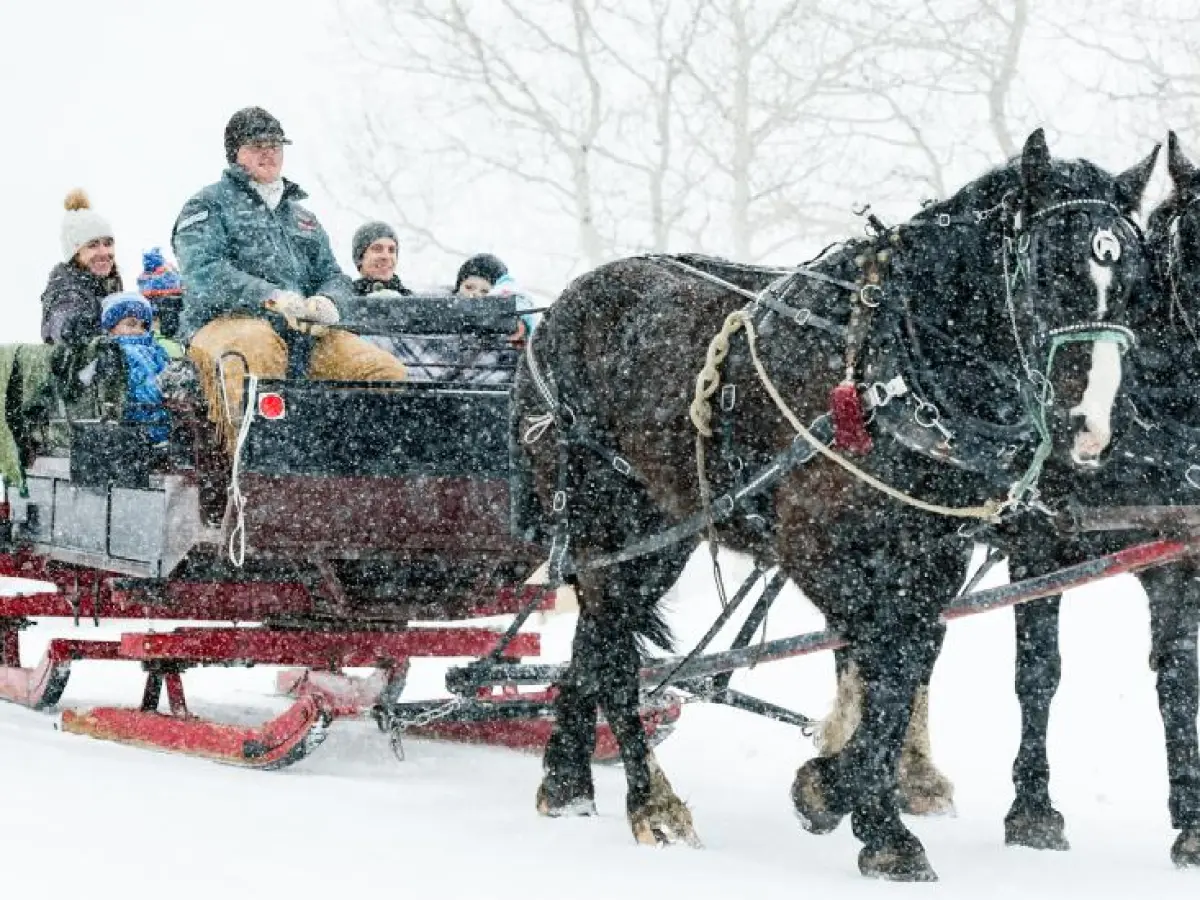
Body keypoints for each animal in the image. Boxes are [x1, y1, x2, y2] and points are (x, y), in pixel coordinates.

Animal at [512, 128, 1159, 882]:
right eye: (1050, 271)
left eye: (1135, 282)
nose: (1089, 426)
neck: (888, 369)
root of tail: (560, 310)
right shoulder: (819, 550)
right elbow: (884, 659)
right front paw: (864, 809)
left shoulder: (930, 557)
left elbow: (906, 661)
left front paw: (851, 795)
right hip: (606, 519)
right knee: (614, 650)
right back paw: (653, 804)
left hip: (659, 534)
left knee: (594, 637)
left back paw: (567, 781)